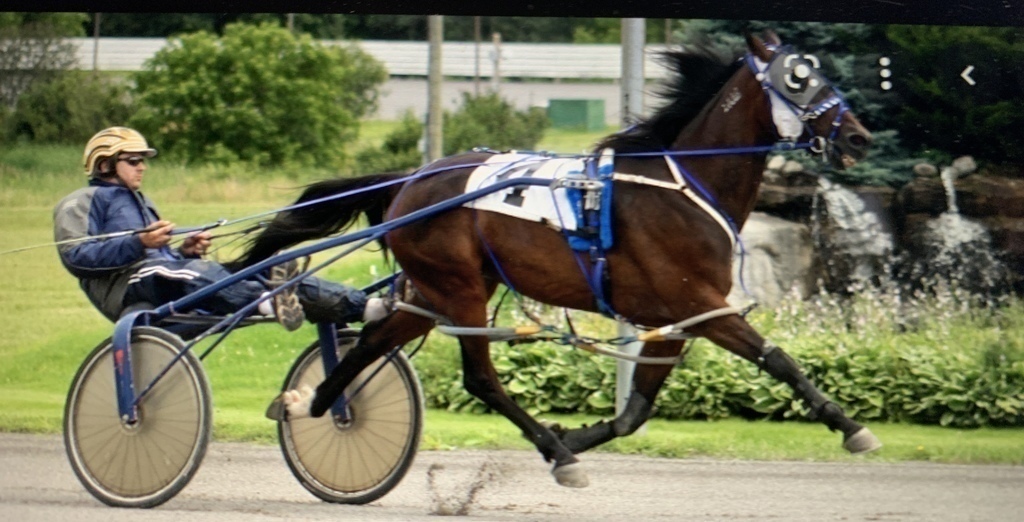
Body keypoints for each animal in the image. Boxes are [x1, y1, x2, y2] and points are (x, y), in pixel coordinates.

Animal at [235, 31, 879, 488]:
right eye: (799, 79)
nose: (858, 137)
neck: (682, 187)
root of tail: (412, 178)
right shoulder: (699, 302)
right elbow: (779, 360)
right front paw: (851, 426)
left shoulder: (677, 319)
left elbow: (634, 412)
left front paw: (575, 433)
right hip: (459, 288)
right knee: (480, 377)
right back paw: (552, 452)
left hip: (432, 292)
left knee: (374, 341)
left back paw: (315, 402)